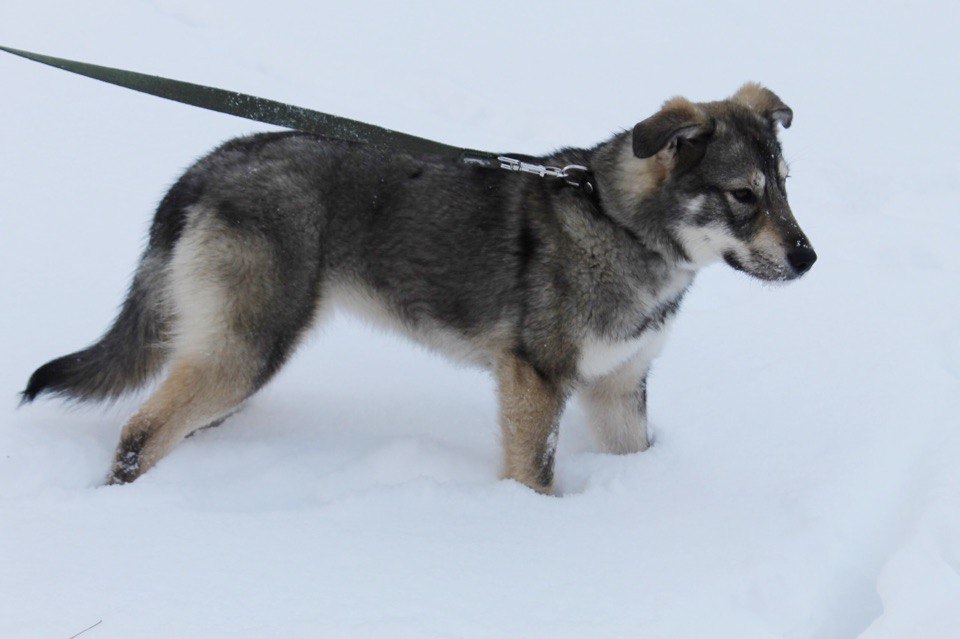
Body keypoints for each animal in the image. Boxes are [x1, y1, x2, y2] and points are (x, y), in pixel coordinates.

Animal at [20, 84, 816, 496]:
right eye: (743, 195)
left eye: (783, 186)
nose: (809, 258)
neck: (621, 224)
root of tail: (207, 168)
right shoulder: (537, 379)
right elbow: (533, 474)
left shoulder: (619, 386)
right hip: (247, 349)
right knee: (138, 434)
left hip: (228, 351)